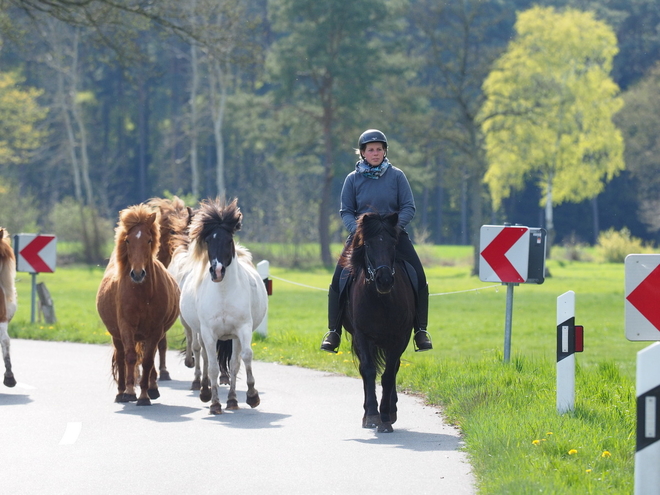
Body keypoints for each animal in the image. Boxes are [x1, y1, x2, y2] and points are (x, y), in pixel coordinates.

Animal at [342, 213, 416, 434]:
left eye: (393, 244)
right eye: (368, 244)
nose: (384, 281)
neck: (380, 299)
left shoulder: (400, 337)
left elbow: (389, 374)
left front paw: (384, 417)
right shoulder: (362, 336)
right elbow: (369, 371)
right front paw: (372, 415)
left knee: (394, 368)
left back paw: (391, 412)